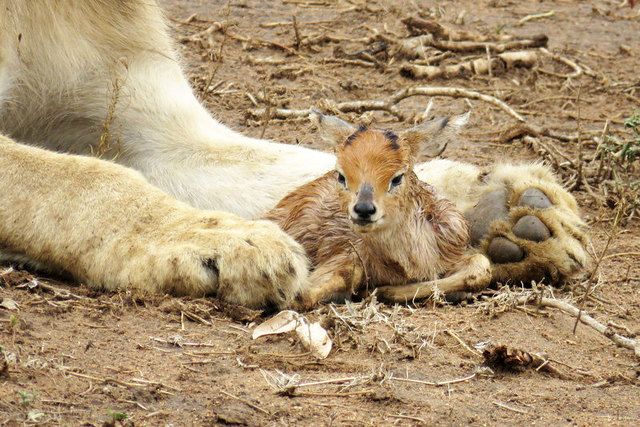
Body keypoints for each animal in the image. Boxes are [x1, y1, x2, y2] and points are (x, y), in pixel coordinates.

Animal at [264, 112, 490, 310]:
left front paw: (384, 292)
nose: (364, 209)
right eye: (341, 175)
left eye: (397, 177)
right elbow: (303, 296)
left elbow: (481, 268)